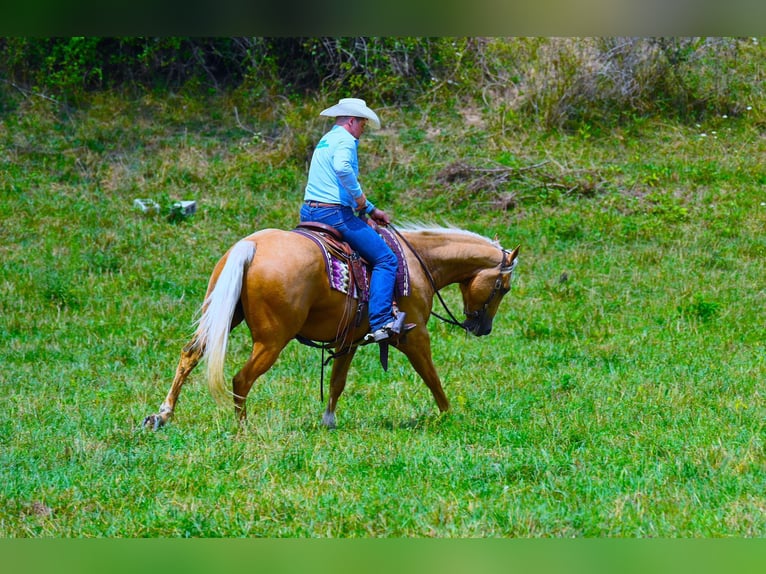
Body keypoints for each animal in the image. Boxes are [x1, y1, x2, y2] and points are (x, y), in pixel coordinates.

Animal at [142, 225, 520, 432]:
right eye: (504, 287)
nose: (482, 328)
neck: (417, 263)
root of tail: (253, 246)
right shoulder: (414, 336)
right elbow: (432, 376)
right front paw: (447, 416)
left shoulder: (348, 340)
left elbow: (337, 380)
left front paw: (328, 420)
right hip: (272, 340)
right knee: (241, 379)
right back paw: (243, 429)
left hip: (222, 315)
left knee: (190, 355)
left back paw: (162, 415)